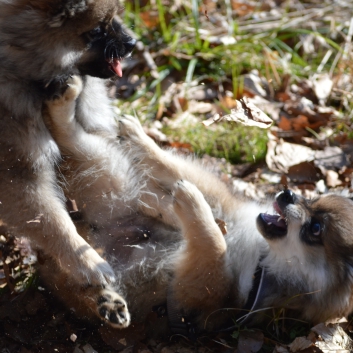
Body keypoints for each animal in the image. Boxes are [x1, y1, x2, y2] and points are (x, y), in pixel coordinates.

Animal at [41, 75, 353, 332]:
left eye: (316, 229)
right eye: (310, 198)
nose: (287, 194)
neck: (262, 260)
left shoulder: (197, 299)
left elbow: (215, 245)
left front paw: (188, 202)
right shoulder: (225, 204)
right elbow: (173, 168)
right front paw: (145, 145)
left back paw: (108, 303)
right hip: (109, 168)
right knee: (72, 137)